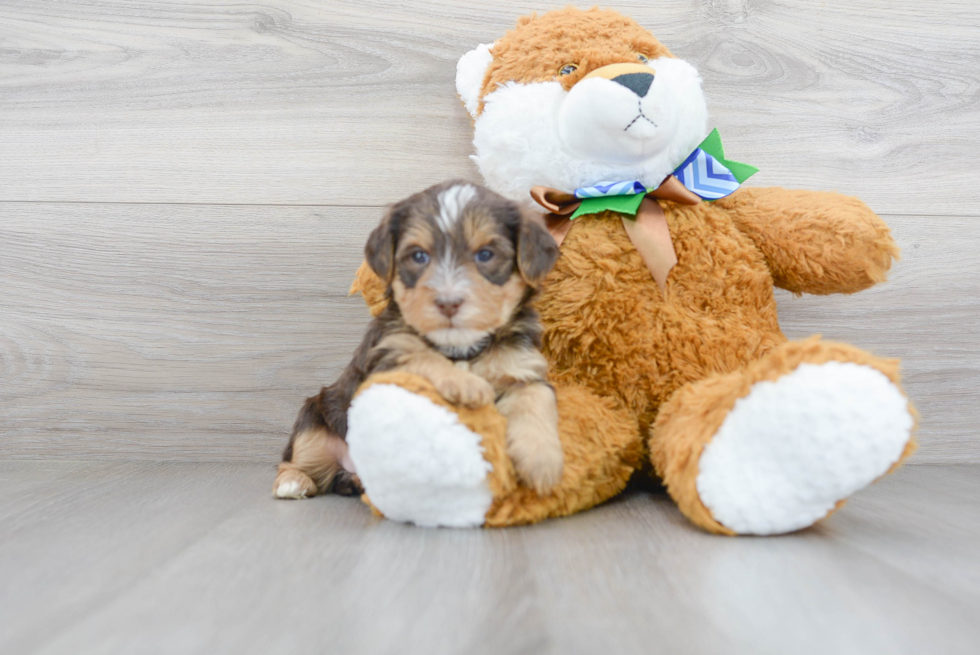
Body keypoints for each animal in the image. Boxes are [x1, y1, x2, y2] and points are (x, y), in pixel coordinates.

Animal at [274, 179, 568, 498]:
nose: (448, 303)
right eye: (418, 256)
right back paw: (295, 481)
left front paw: (543, 462)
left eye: (485, 254)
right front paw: (467, 384)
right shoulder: (387, 357)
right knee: (296, 460)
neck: (461, 347)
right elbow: (422, 357)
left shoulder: (522, 367)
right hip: (314, 419)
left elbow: (537, 399)